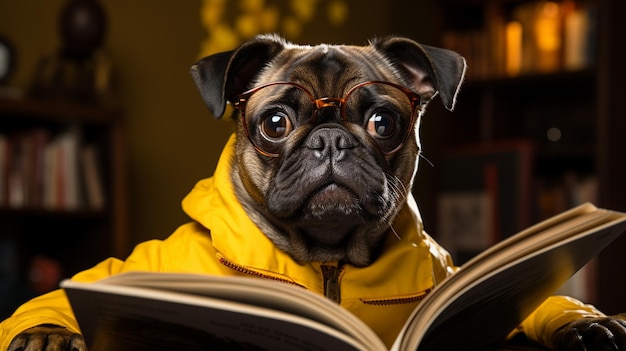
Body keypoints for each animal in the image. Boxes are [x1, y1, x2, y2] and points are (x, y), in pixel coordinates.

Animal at [4, 33, 624, 351]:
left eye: (383, 123)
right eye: (275, 123)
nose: (330, 140)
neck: (328, 259)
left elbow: (543, 304)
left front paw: (584, 323)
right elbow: (63, 294)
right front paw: (46, 335)